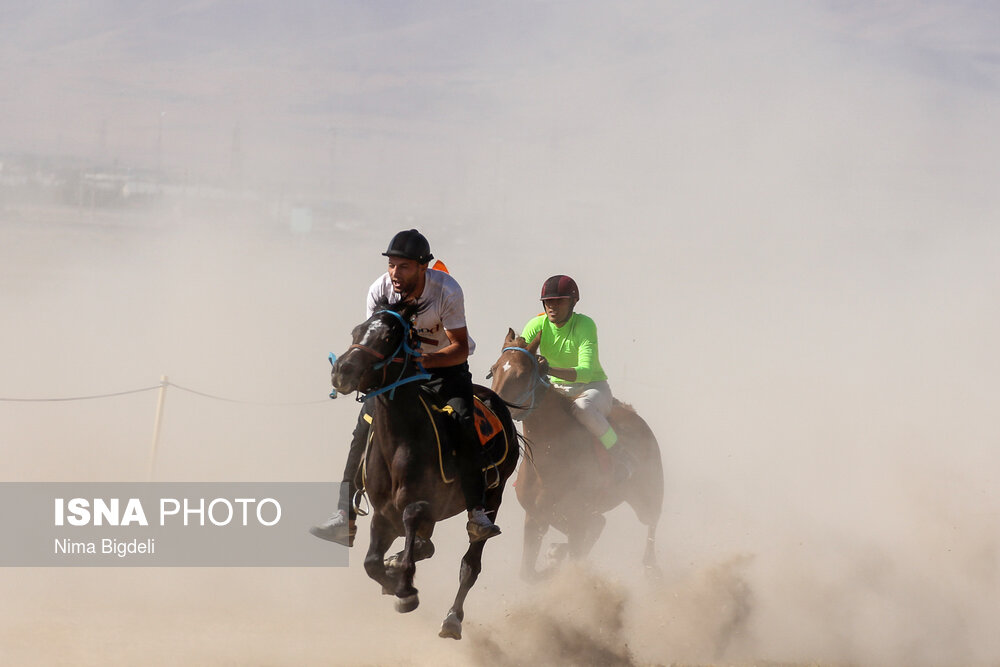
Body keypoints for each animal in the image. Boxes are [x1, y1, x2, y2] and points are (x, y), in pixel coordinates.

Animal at [330, 300, 520, 640]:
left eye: (388, 338)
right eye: (357, 331)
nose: (342, 370)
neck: (401, 439)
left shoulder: (419, 505)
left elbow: (412, 528)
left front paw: (404, 588)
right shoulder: (383, 513)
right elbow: (372, 563)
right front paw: (396, 581)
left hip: (493, 496)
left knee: (470, 564)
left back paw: (452, 618)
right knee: (426, 546)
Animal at [490, 332, 664, 580]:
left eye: (522, 374)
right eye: (494, 369)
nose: (493, 408)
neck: (549, 460)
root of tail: (633, 414)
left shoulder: (576, 521)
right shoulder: (535, 517)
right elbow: (528, 573)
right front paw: (554, 555)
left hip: (648, 495)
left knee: (650, 524)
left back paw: (651, 567)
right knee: (600, 523)